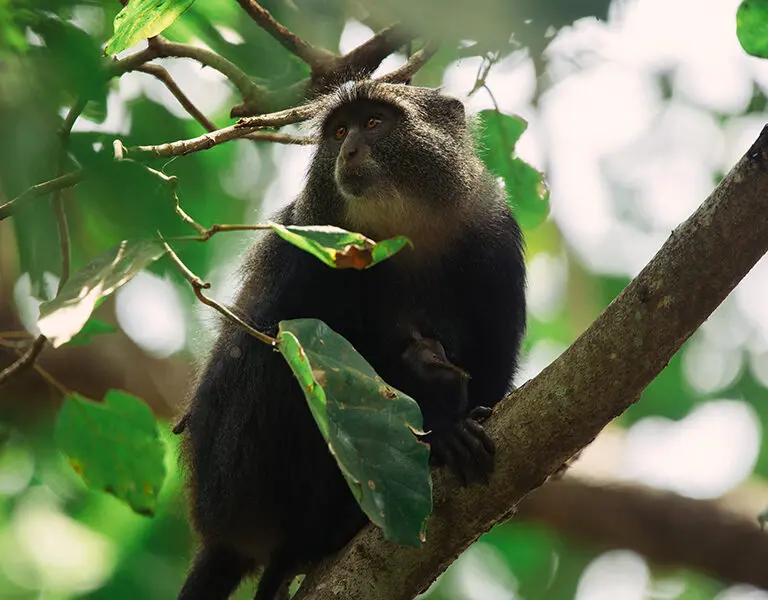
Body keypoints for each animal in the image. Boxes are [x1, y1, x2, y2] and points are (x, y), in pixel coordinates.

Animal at [176, 80, 527, 600]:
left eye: (374, 123)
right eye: (339, 131)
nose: (349, 150)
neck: (404, 232)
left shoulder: (495, 235)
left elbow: (494, 370)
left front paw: (453, 409)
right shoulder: (307, 249)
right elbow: (290, 339)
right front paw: (440, 417)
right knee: (281, 361)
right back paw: (318, 535)